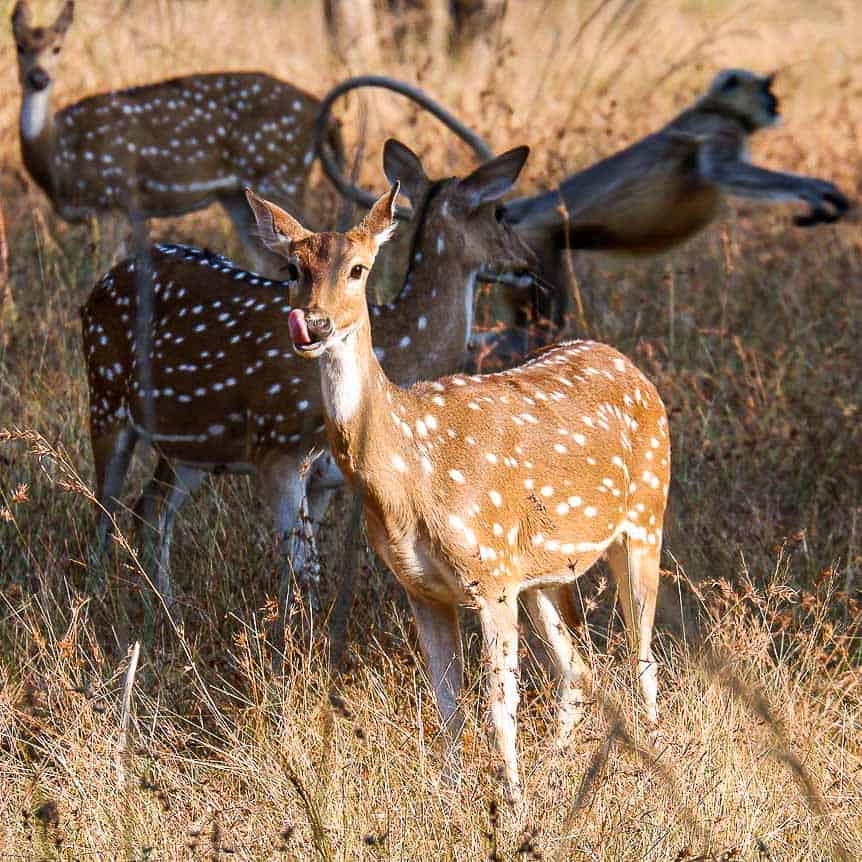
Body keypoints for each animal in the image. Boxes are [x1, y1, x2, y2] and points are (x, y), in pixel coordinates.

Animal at [10, 0, 342, 264]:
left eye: (57, 48)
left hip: (282, 175)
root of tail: (319, 110)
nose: (38, 78)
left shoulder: (111, 199)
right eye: (20, 46)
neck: (57, 158)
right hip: (236, 194)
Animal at [82, 142, 540, 636]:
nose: (531, 266)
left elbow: (306, 566)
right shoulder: (278, 449)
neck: (398, 349)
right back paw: (97, 601)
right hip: (105, 393)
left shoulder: (324, 479)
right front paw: (290, 645)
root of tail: (102, 283)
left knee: (150, 508)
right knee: (104, 508)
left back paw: (164, 612)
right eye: (500, 212)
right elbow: (302, 566)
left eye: (359, 269)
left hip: (193, 446)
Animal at [246, 182, 672, 804]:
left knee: (642, 657)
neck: (410, 476)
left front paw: (512, 805)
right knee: (578, 671)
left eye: (358, 268)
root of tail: (630, 366)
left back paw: (654, 760)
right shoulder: (422, 588)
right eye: (292, 268)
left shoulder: (489, 573)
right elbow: (447, 702)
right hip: (544, 573)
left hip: (645, 516)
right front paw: (450, 797)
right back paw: (557, 768)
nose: (315, 324)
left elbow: (500, 703)